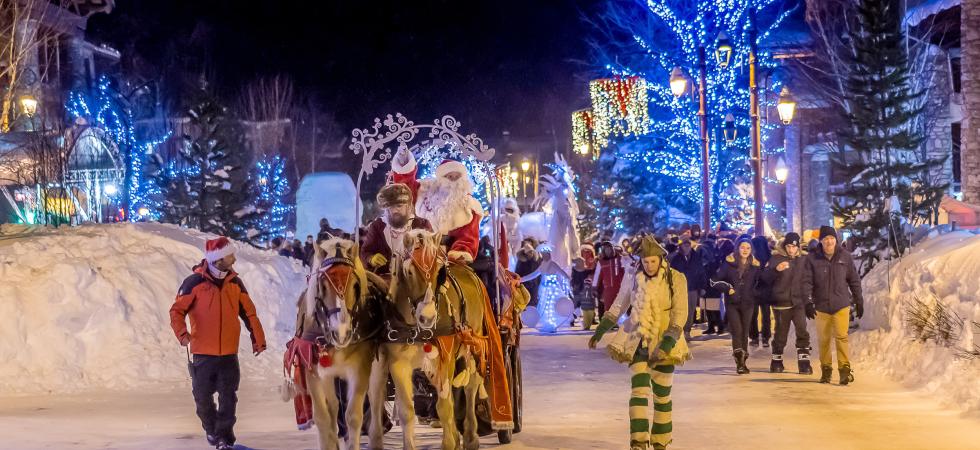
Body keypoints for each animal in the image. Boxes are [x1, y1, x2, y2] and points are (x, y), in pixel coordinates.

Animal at [290, 236, 380, 450]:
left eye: (355, 285)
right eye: (322, 286)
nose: (341, 332)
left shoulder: (360, 367)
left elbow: (353, 416)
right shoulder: (314, 371)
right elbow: (323, 417)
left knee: (376, 402)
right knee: (332, 408)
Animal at [366, 230, 494, 448]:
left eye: (439, 272)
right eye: (409, 272)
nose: (427, 317)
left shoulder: (446, 356)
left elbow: (444, 406)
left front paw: (449, 443)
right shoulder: (398, 362)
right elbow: (407, 411)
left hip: (472, 345)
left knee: (470, 387)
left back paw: (470, 436)